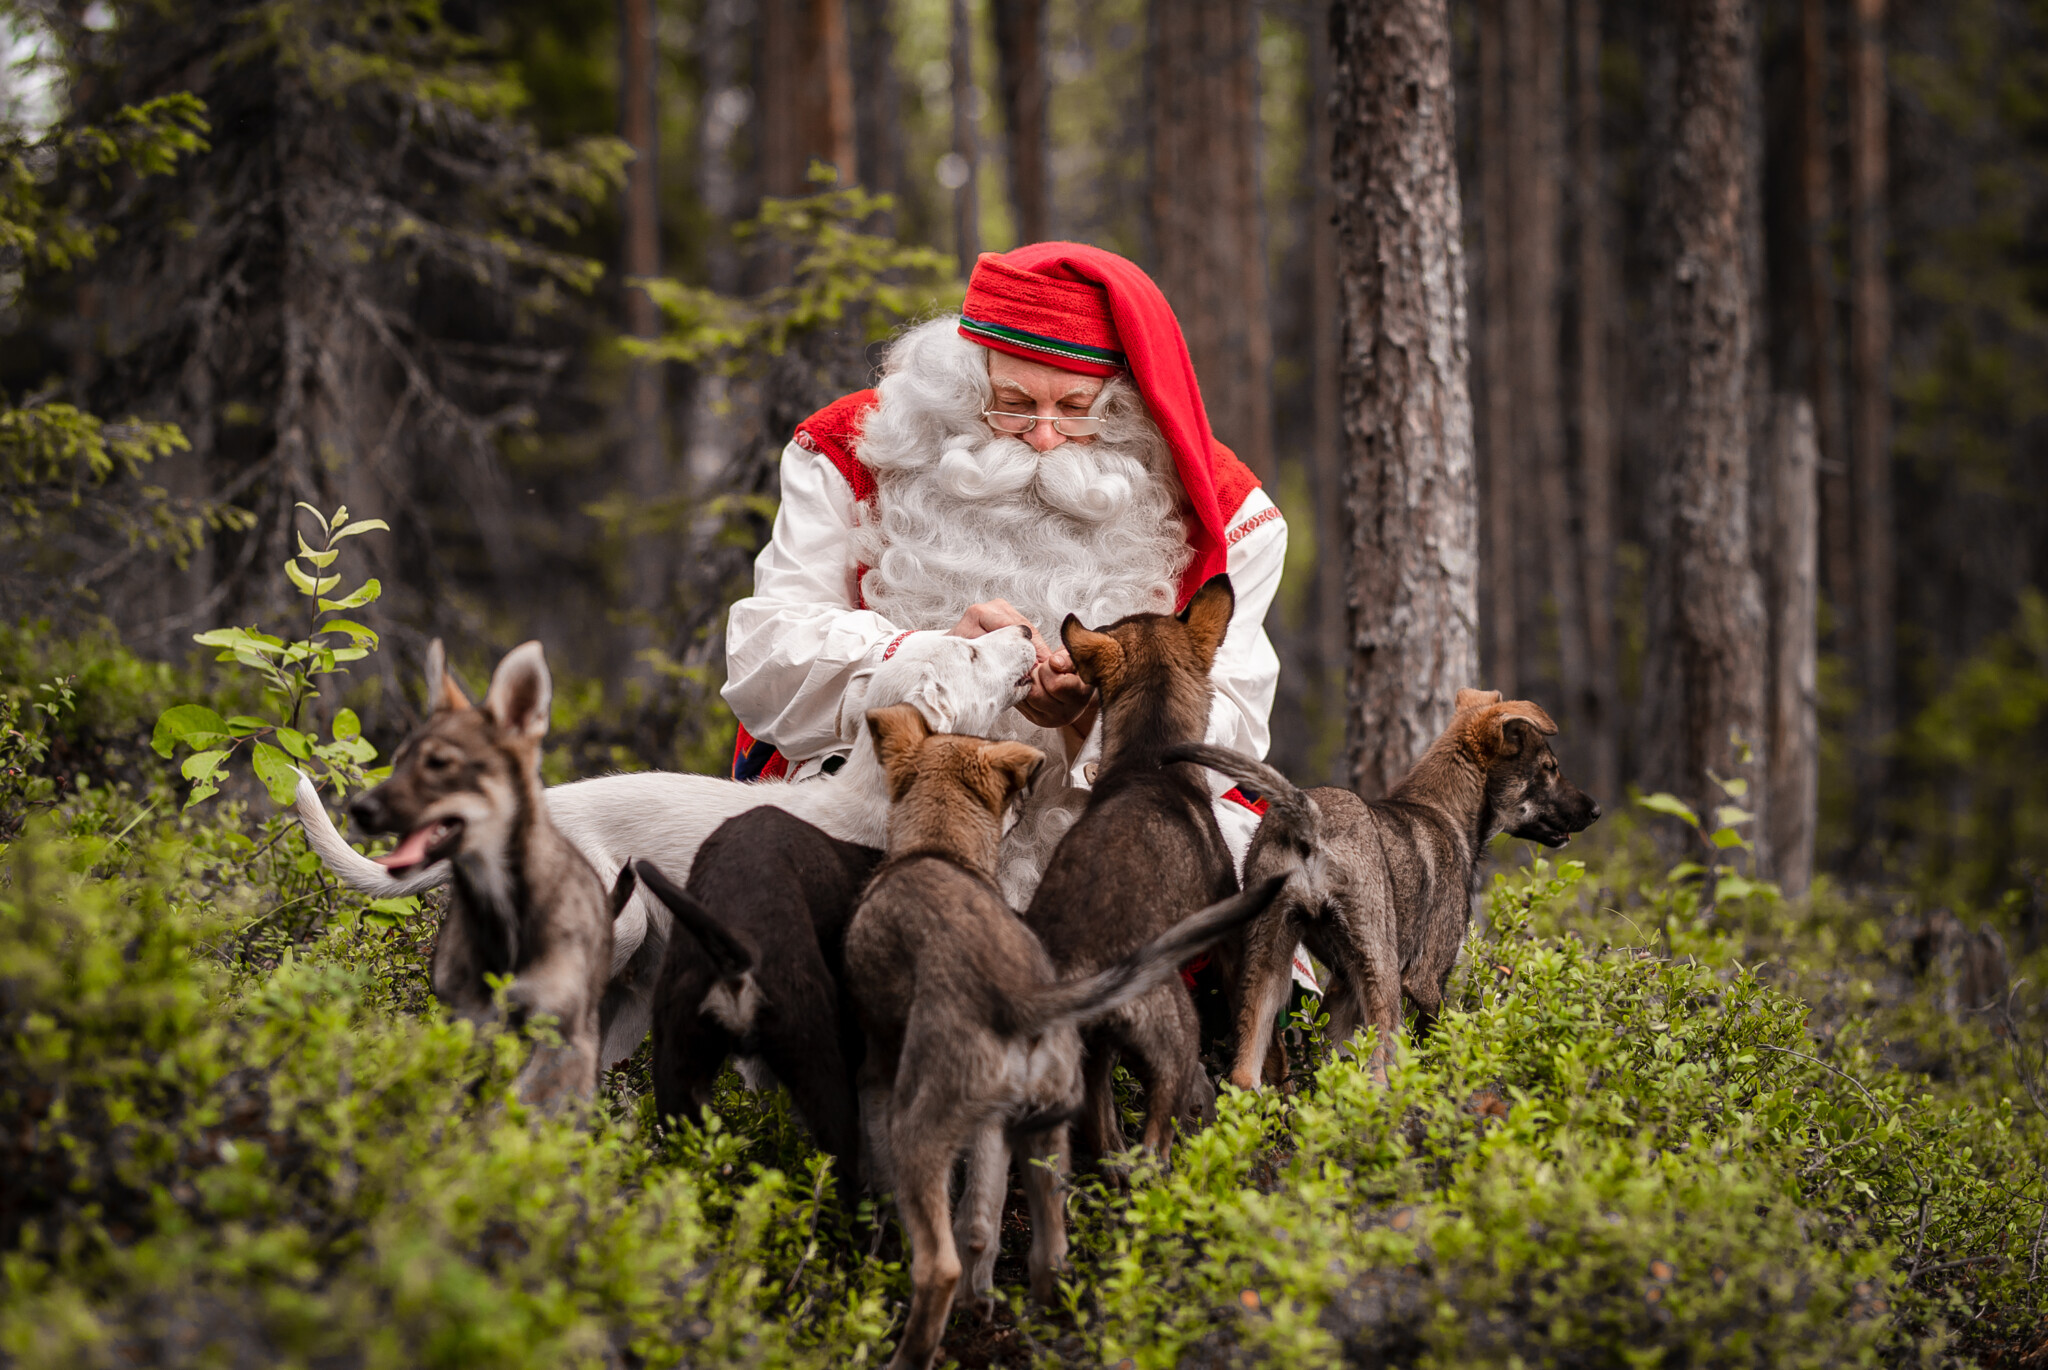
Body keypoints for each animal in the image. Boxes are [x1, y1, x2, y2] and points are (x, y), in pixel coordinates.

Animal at [847, 704, 1277, 1367]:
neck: (939, 849)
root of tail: (1023, 999)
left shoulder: (875, 1072)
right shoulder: (994, 1130)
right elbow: (980, 1221)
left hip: (923, 1126)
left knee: (940, 1264)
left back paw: (910, 1352)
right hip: (1042, 1129)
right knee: (1042, 1248)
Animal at [1171, 688, 1597, 1081]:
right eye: (1550, 768)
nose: (1595, 811)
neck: (1444, 811)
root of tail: (1310, 819)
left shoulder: (1343, 987)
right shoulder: (1426, 978)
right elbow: (1435, 1047)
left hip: (1268, 963)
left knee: (1245, 1073)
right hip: (1381, 968)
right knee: (1379, 1069)